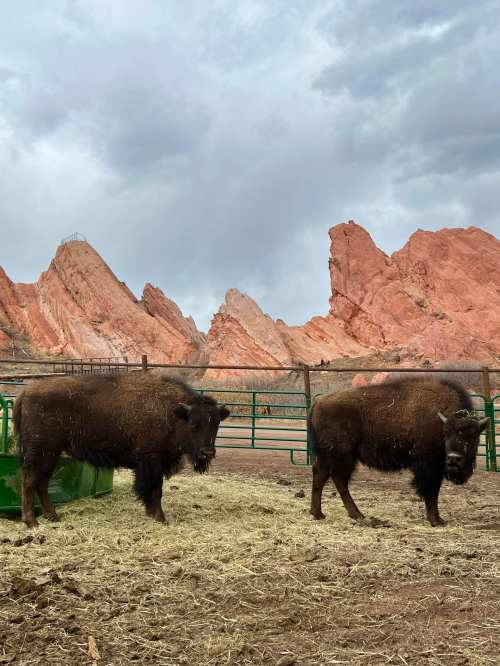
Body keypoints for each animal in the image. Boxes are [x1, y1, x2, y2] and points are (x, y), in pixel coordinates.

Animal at [14, 373, 230, 528]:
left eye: (216, 423)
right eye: (193, 424)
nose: (207, 453)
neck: (173, 413)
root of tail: (26, 392)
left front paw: (153, 515)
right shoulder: (151, 461)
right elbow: (154, 489)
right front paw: (160, 518)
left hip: (51, 454)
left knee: (41, 482)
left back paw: (52, 517)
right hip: (41, 452)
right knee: (30, 481)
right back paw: (32, 522)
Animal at [308, 378, 488, 526]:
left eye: (473, 436)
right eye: (446, 433)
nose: (454, 458)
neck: (439, 420)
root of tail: (318, 403)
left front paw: (437, 519)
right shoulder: (429, 467)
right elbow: (431, 491)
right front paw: (436, 521)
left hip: (328, 456)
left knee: (321, 477)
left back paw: (319, 514)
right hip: (342, 456)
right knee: (338, 480)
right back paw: (356, 514)